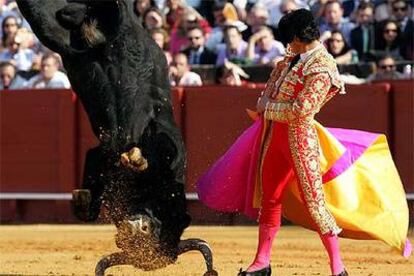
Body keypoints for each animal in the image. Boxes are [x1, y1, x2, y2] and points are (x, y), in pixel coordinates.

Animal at [15, 1, 217, 274]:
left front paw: (82, 199)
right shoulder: (163, 143)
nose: (137, 229)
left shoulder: (99, 156)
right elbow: (158, 147)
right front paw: (136, 159)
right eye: (159, 223)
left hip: (60, 38)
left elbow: (88, 208)